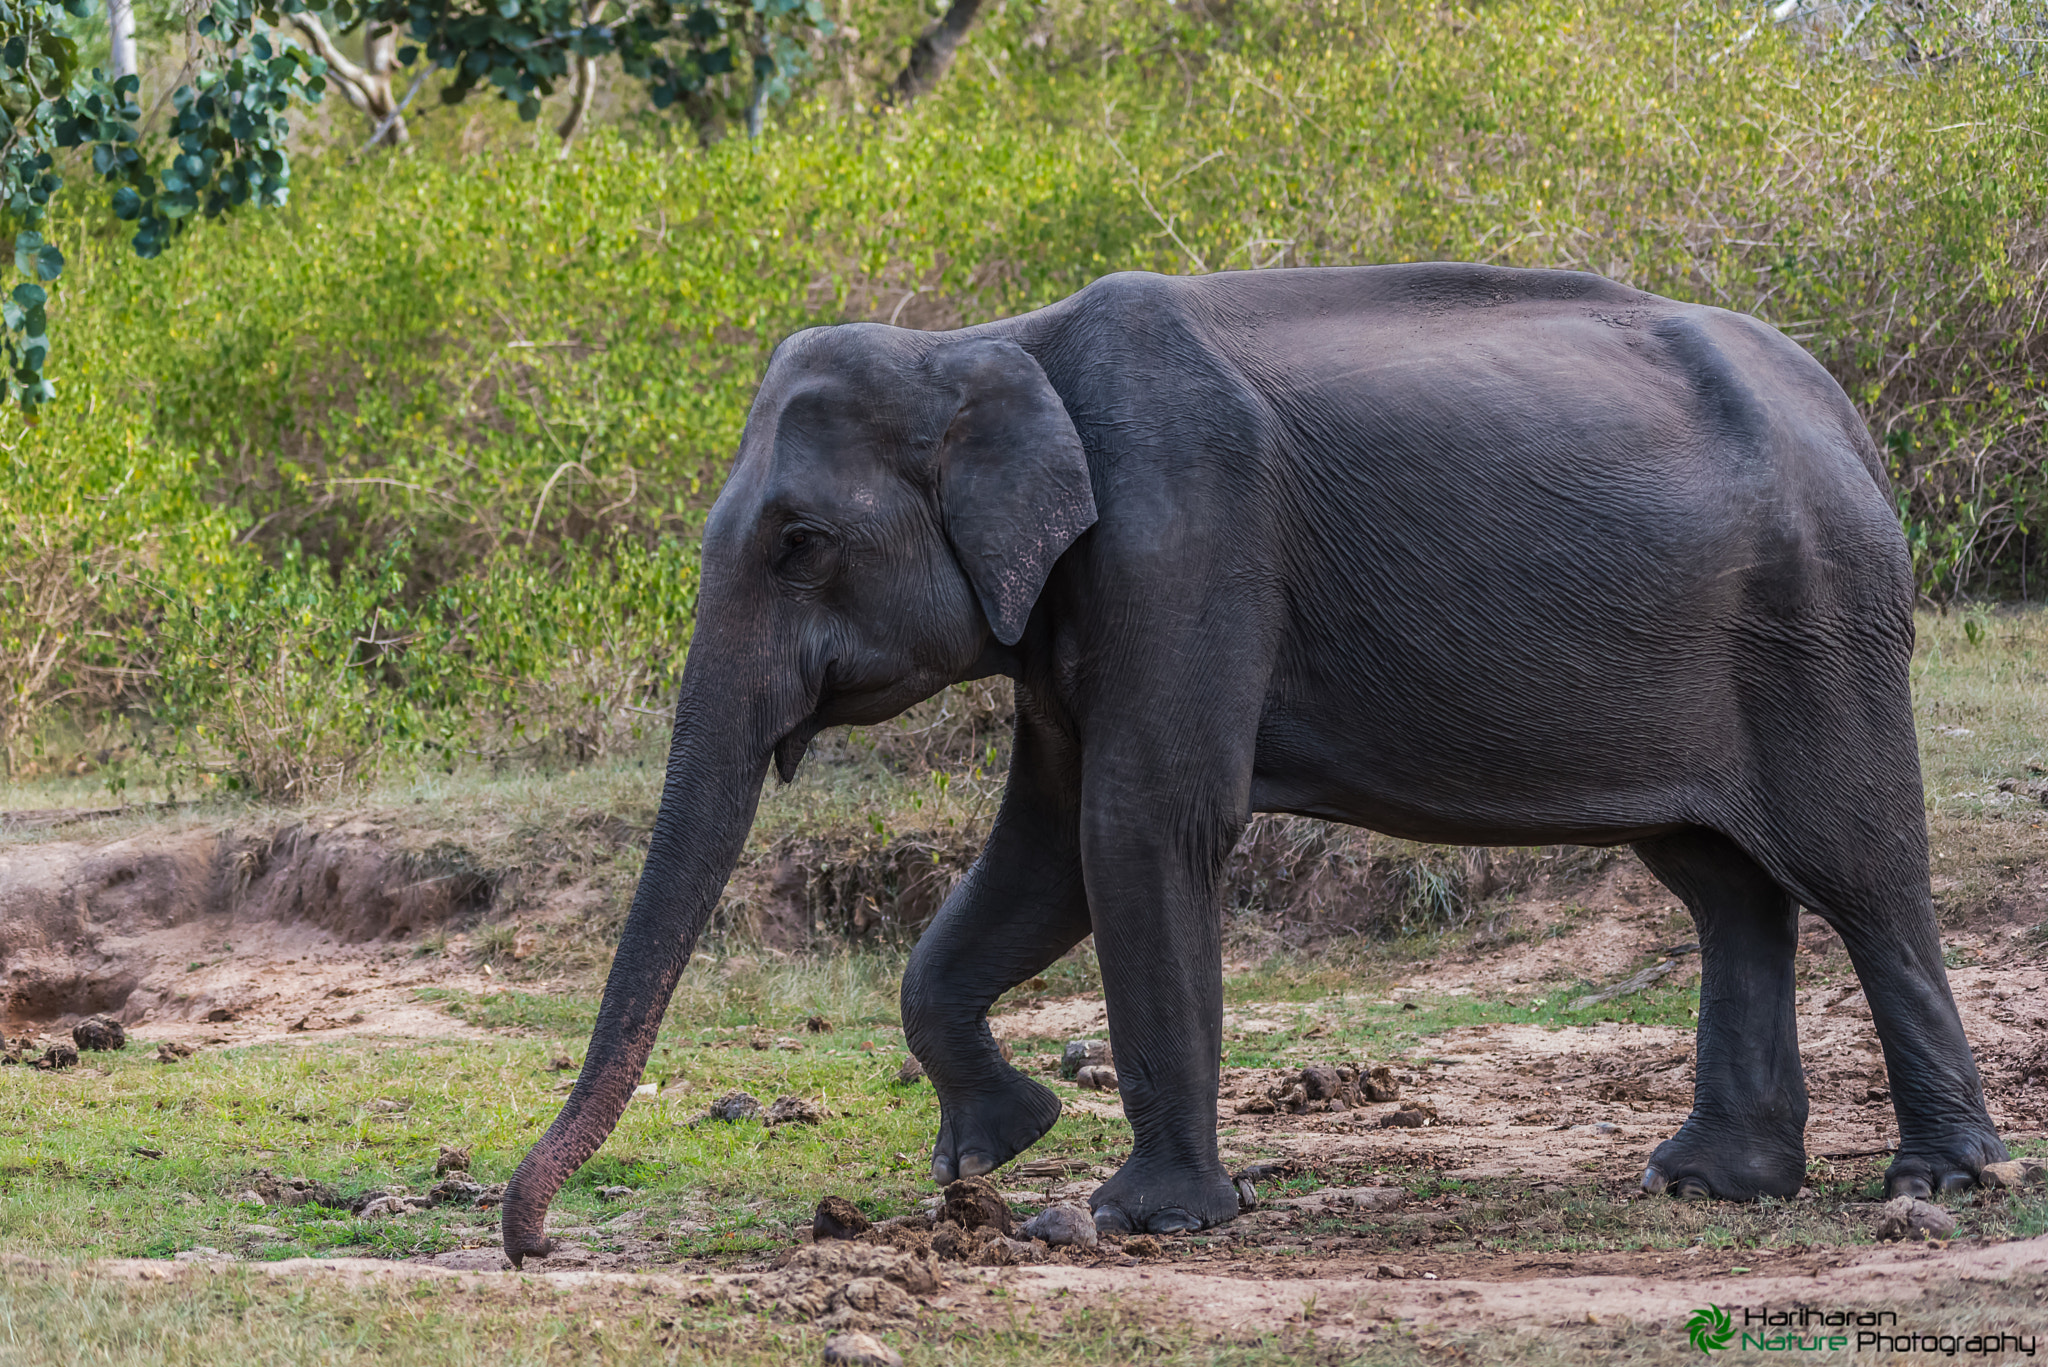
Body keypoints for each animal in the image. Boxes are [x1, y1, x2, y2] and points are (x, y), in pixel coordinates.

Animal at [500, 262, 2007, 1261]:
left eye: (801, 543)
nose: (536, 1242)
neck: (991, 346)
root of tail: (1848, 413)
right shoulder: (1080, 605)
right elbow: (1044, 858)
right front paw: (994, 1146)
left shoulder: (1182, 537)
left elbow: (1139, 828)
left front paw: (1120, 1217)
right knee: (1719, 880)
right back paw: (1708, 1183)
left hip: (1818, 619)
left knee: (1861, 870)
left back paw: (1933, 1183)